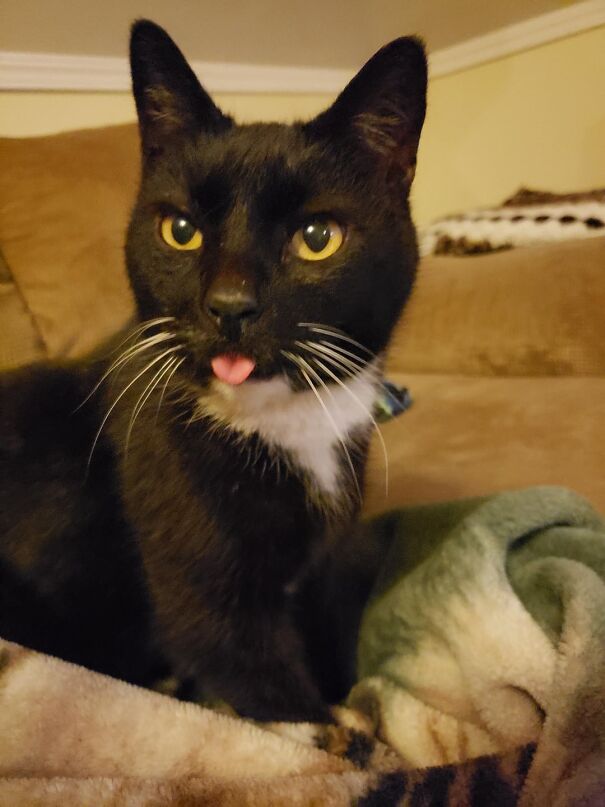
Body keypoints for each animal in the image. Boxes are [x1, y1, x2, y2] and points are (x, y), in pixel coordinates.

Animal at [0, 22, 424, 724]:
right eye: (180, 229)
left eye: (318, 237)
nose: (228, 305)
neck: (282, 424)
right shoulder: (205, 594)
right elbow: (267, 686)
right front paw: (346, 734)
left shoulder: (326, 563)